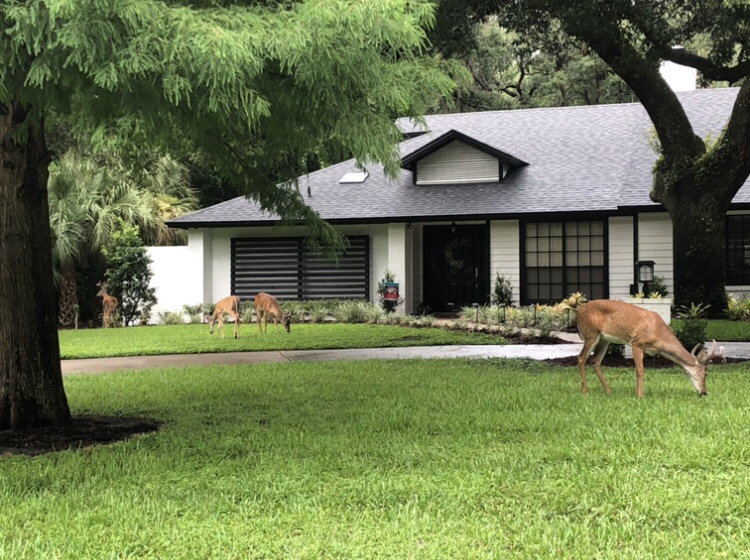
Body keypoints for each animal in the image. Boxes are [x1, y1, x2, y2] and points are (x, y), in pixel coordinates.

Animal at [580, 300, 724, 396]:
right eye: (705, 373)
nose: (704, 393)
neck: (658, 334)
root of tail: (578, 313)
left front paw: (638, 393)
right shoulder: (637, 343)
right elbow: (640, 370)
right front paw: (640, 395)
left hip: (604, 339)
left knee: (595, 361)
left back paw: (608, 390)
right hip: (591, 334)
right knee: (581, 358)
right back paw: (585, 391)